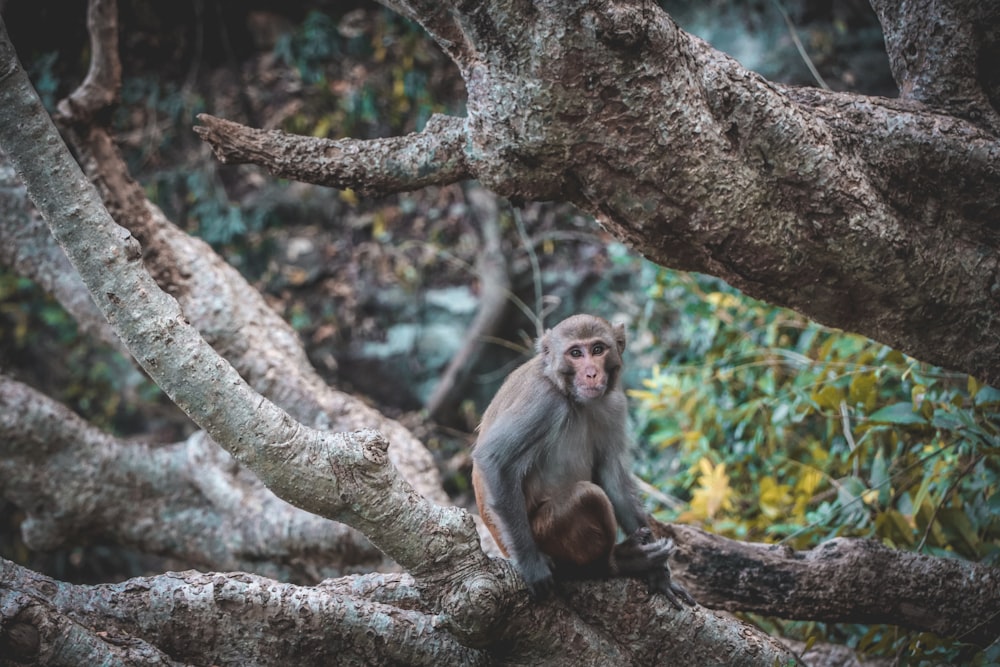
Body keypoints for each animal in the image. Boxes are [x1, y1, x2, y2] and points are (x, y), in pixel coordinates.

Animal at [474, 316, 696, 608]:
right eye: (576, 353)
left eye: (598, 350)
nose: (591, 373)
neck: (567, 392)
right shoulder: (544, 401)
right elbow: (494, 459)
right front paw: (532, 565)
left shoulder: (614, 403)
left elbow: (613, 478)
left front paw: (660, 574)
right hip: (543, 533)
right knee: (587, 496)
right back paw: (614, 563)